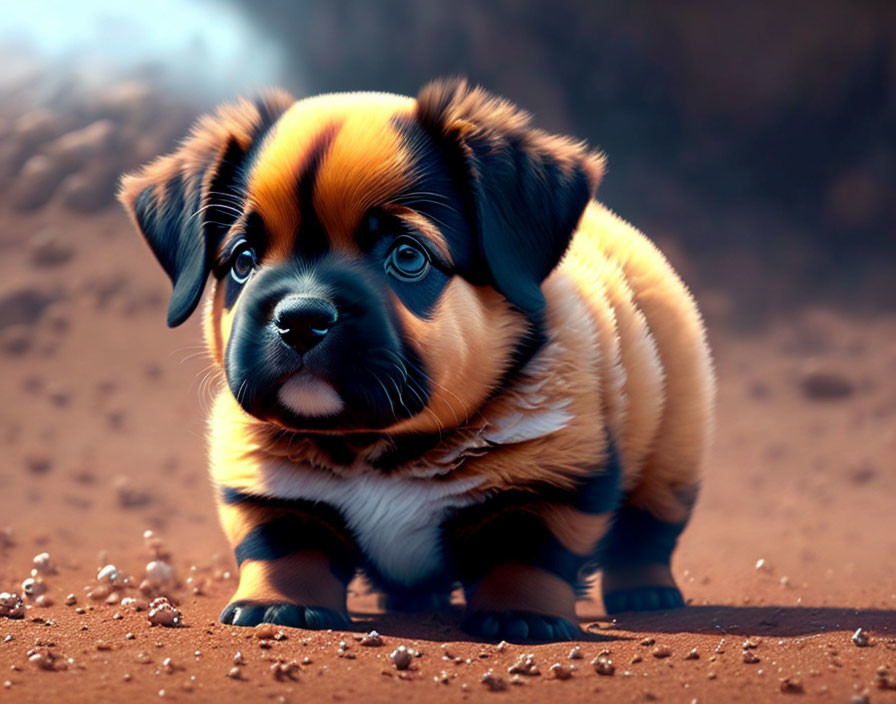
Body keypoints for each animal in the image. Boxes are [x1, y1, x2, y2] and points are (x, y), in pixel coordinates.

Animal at [122, 80, 716, 640]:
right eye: (243, 261)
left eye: (408, 257)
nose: (301, 319)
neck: (378, 445)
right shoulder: (269, 483)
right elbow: (285, 544)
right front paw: (278, 606)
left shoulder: (552, 476)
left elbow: (524, 550)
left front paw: (522, 617)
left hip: (670, 459)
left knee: (645, 535)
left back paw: (646, 593)